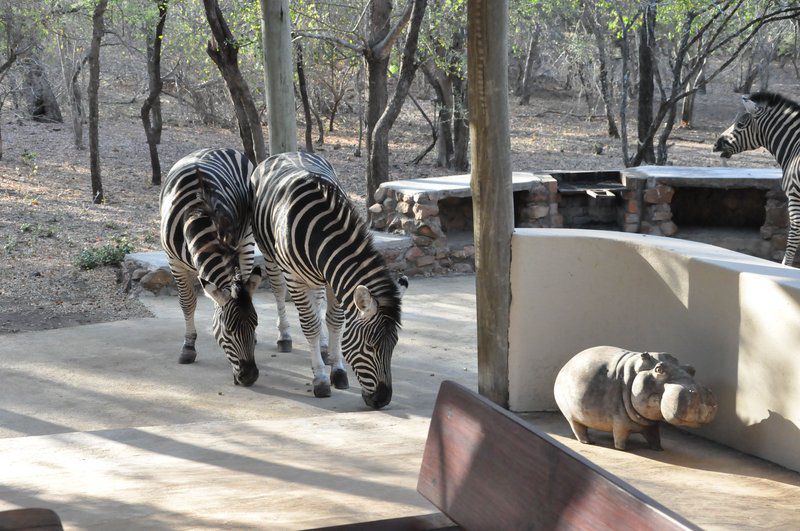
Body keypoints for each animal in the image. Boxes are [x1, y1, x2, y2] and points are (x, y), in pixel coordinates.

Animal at [159, 148, 262, 384]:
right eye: (228, 331)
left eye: (255, 324)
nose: (250, 377)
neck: (198, 213)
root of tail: (216, 149)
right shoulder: (173, 261)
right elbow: (187, 303)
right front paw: (188, 347)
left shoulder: (231, 245)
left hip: (247, 237)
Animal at [253, 152, 410, 410]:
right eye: (370, 346)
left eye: (394, 345)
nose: (382, 399)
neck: (320, 231)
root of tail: (286, 153)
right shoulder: (295, 279)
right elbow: (310, 326)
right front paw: (320, 378)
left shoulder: (332, 279)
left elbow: (334, 322)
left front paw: (337, 369)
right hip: (269, 254)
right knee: (278, 290)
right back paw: (284, 336)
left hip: (315, 277)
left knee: (317, 304)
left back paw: (324, 347)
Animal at [716, 92, 800, 266]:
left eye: (740, 124)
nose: (715, 145)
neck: (794, 147)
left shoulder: (794, 195)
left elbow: (794, 234)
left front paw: (786, 266)